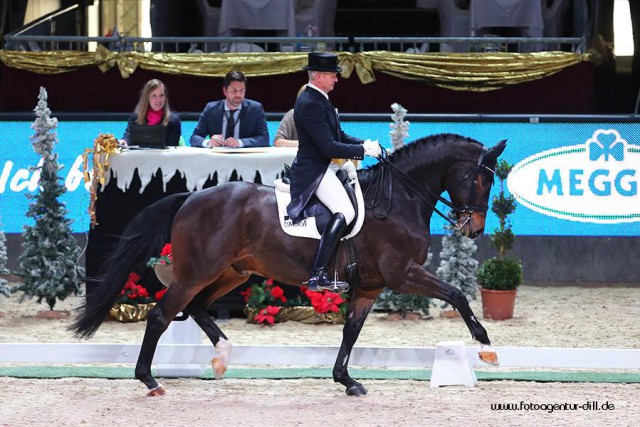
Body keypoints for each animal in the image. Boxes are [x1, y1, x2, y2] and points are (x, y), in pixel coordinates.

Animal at [71, 134, 504, 398]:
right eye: (483, 181)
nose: (474, 228)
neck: (398, 200)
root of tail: (191, 198)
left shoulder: (371, 286)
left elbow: (351, 332)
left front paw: (347, 381)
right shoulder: (402, 274)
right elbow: (457, 294)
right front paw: (486, 347)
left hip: (232, 272)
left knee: (195, 307)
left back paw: (222, 356)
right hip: (198, 272)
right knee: (162, 314)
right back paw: (151, 380)